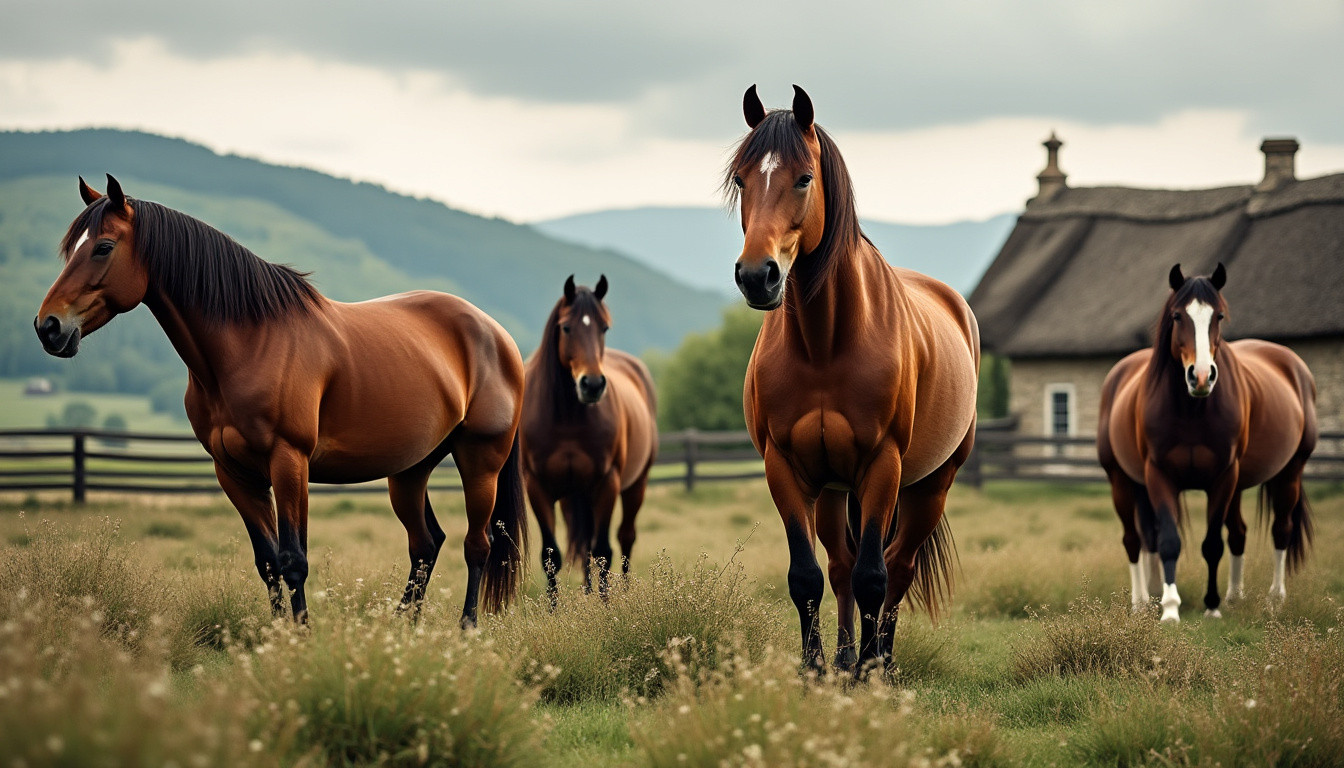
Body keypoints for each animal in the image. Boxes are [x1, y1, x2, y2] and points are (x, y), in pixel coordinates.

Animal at [35, 175, 528, 627]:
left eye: (102, 247)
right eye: (70, 248)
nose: (49, 327)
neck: (250, 344)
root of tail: (497, 335)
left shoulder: (289, 462)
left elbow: (294, 560)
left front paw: (302, 640)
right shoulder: (235, 473)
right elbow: (268, 561)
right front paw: (278, 639)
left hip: (480, 462)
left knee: (476, 545)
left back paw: (466, 629)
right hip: (409, 470)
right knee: (426, 544)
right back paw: (401, 629)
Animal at [520, 275, 658, 598]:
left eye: (604, 327)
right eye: (566, 327)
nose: (592, 384)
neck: (567, 418)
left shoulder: (607, 482)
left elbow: (604, 551)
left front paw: (606, 605)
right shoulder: (538, 487)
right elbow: (551, 557)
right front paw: (556, 608)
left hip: (634, 485)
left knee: (625, 538)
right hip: (576, 496)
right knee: (584, 547)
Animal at [728, 86, 979, 674]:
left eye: (804, 178)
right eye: (741, 180)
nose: (756, 276)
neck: (825, 345)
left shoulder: (882, 467)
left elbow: (874, 577)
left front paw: (869, 670)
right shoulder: (785, 467)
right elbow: (807, 576)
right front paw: (815, 667)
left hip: (930, 485)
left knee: (898, 566)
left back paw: (878, 659)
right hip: (831, 489)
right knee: (841, 565)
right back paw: (844, 658)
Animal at [1097, 263, 1317, 622]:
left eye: (1219, 316)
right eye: (1177, 316)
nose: (1200, 377)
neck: (1192, 411)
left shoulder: (1224, 476)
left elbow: (1213, 543)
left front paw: (1212, 606)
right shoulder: (1158, 476)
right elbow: (1168, 541)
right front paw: (1170, 608)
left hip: (1289, 472)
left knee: (1279, 531)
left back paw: (1272, 601)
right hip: (1121, 480)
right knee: (1136, 540)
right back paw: (1143, 602)